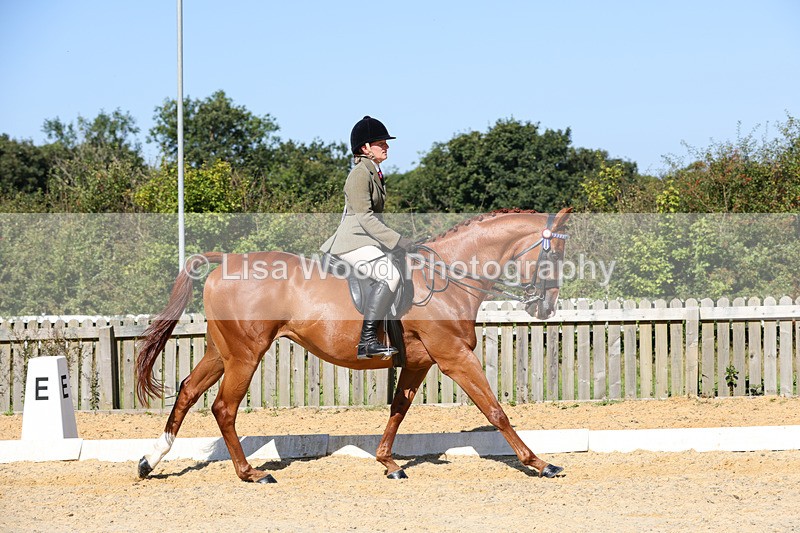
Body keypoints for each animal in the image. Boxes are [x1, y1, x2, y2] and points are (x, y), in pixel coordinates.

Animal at [135, 207, 571, 483]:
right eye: (555, 254)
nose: (546, 307)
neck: (446, 277)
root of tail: (225, 262)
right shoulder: (454, 357)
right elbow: (496, 411)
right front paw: (539, 463)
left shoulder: (418, 362)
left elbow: (398, 410)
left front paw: (389, 463)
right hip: (245, 355)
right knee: (223, 408)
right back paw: (251, 474)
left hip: (221, 353)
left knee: (188, 390)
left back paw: (149, 461)